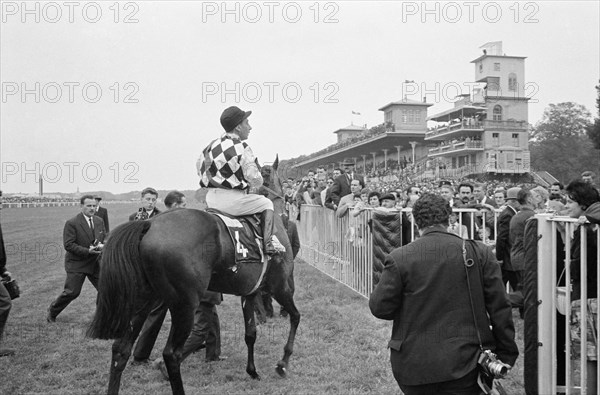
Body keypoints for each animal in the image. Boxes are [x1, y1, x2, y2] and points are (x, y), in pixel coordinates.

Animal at [86, 156, 300, 394]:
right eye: (271, 175)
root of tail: (149, 223)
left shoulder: (250, 293)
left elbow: (250, 334)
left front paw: (252, 371)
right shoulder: (280, 287)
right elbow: (295, 317)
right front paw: (283, 364)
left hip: (143, 300)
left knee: (121, 350)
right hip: (185, 305)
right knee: (171, 354)